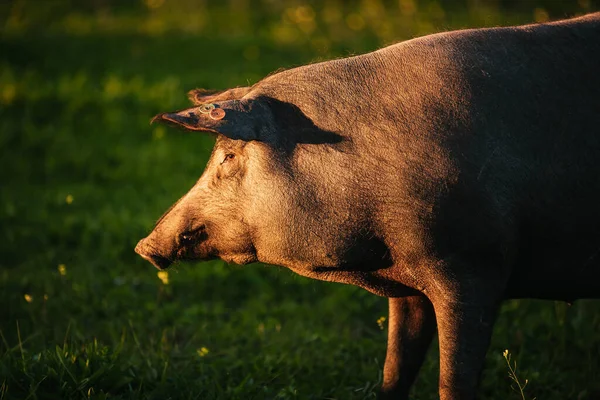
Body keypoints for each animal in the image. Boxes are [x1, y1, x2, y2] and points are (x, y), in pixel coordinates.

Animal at [135, 12, 600, 400]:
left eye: (228, 156)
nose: (143, 246)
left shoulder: (473, 267)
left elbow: (453, 381)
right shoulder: (411, 287)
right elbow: (395, 369)